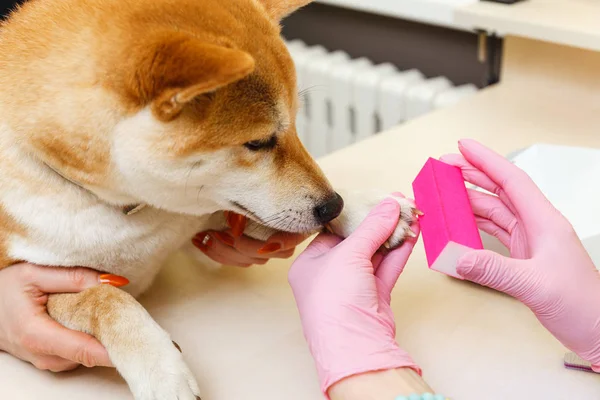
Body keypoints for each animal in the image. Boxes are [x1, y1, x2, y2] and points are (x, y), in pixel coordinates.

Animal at [0, 0, 418, 396]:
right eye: (258, 142)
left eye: (297, 124)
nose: (333, 205)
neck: (130, 211)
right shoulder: (51, 280)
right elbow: (107, 300)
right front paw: (161, 369)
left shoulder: (194, 216)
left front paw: (369, 210)